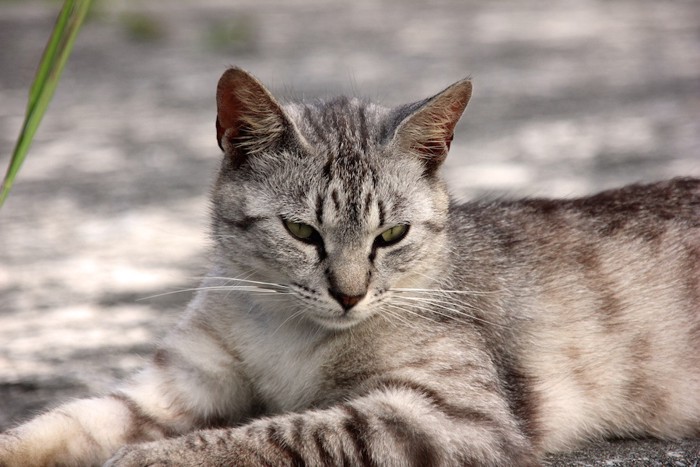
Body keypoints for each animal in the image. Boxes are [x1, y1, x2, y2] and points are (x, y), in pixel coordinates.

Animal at [1, 66, 700, 467]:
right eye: (301, 231)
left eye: (391, 235)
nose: (348, 295)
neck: (289, 334)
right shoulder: (177, 384)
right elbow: (67, 421)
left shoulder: (448, 413)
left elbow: (281, 434)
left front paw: (152, 460)